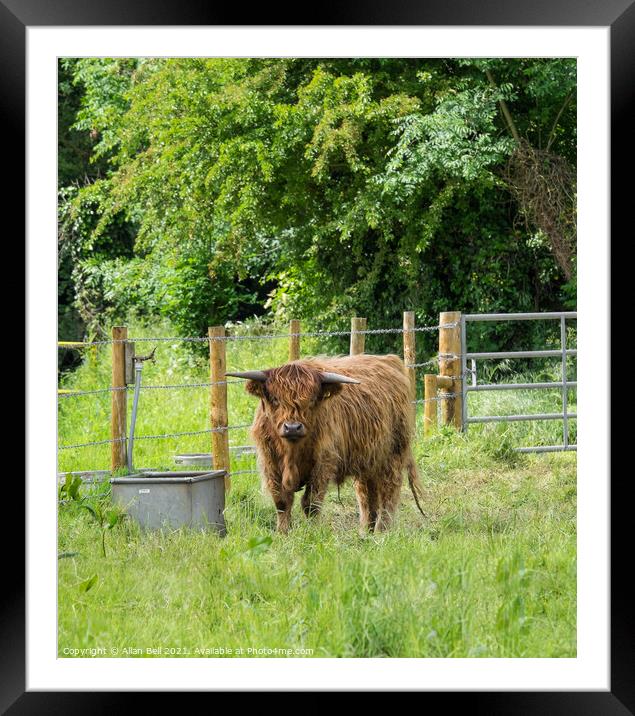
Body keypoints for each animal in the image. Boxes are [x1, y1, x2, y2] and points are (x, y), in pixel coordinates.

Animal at [226, 356, 424, 536]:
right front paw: (282, 533)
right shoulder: (270, 462)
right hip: (368, 460)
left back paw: (382, 531)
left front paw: (312, 533)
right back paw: (365, 531)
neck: (292, 452)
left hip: (393, 454)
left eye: (312, 400)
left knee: (389, 490)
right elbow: (282, 501)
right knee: (366, 493)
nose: (292, 427)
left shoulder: (323, 462)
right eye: (275, 399)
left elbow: (311, 503)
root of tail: (390, 360)